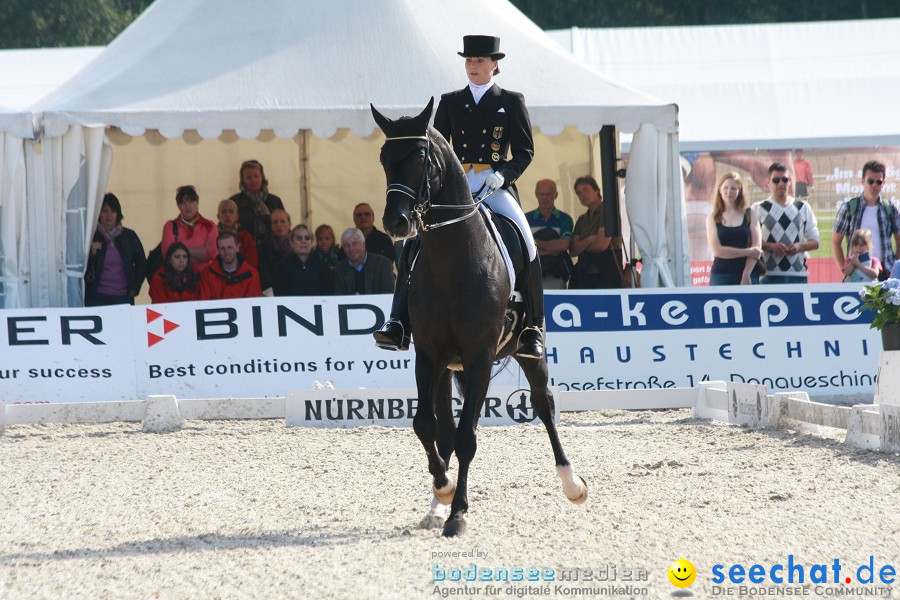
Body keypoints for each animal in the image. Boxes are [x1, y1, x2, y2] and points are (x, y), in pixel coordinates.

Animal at [370, 99, 588, 540]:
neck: (453, 260)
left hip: (526, 351)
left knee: (543, 403)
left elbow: (467, 437)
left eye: (419, 157)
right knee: (443, 428)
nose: (395, 223)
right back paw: (437, 503)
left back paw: (572, 483)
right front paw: (443, 491)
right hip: (446, 368)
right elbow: (427, 425)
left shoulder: (480, 354)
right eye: (384, 159)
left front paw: (458, 515)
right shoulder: (429, 354)